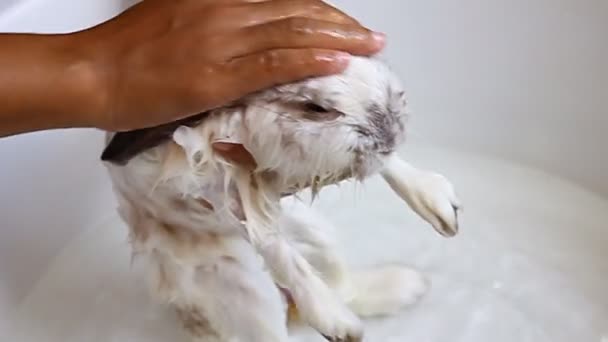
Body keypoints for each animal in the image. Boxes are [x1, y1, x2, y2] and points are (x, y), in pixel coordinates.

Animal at [101, 54, 460, 340]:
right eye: (317, 108)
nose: (392, 130)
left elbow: (389, 166)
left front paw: (442, 208)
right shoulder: (220, 190)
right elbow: (273, 246)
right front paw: (335, 322)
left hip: (316, 231)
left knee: (341, 280)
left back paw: (402, 288)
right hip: (247, 291)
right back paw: (345, 324)